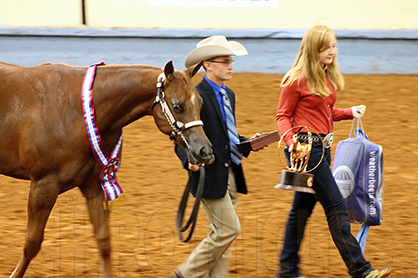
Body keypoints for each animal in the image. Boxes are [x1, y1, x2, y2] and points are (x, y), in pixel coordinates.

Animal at [0, 59, 214, 276]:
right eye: (178, 106)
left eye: (200, 103)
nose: (204, 151)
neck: (73, 109)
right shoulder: (43, 186)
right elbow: (32, 243)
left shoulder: (94, 186)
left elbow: (104, 242)